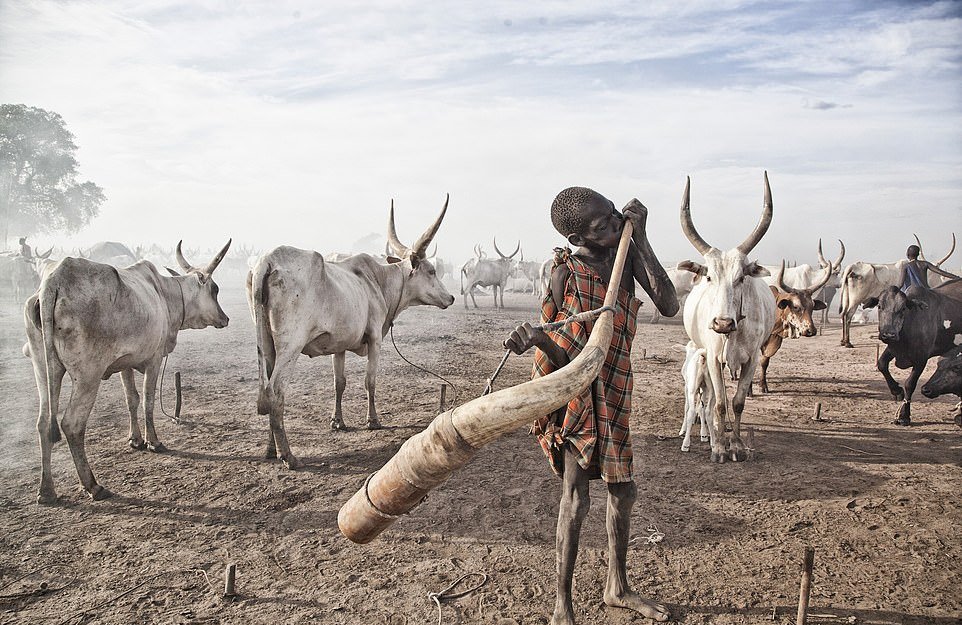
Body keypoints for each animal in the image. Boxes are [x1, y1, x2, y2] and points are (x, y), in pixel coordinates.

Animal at [23, 240, 231, 502]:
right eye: (215, 289)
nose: (225, 318)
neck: (165, 295)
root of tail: (53, 283)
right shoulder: (154, 360)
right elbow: (148, 401)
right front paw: (153, 442)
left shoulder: (125, 364)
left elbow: (131, 398)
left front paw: (135, 439)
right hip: (88, 376)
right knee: (72, 424)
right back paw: (92, 485)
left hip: (43, 368)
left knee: (42, 423)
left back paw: (47, 490)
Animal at [249, 195, 456, 468]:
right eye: (431, 271)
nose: (451, 297)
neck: (377, 281)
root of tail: (268, 260)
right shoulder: (375, 339)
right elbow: (370, 380)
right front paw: (373, 420)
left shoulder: (339, 345)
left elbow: (340, 383)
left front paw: (338, 421)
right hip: (290, 346)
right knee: (275, 392)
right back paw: (289, 456)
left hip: (266, 345)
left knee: (266, 392)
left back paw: (270, 449)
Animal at [680, 173, 776, 460]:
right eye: (709, 277)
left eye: (741, 277)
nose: (722, 323)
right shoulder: (713, 357)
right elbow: (720, 403)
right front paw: (720, 448)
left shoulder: (752, 359)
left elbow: (738, 402)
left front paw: (735, 445)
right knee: (704, 400)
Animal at [756, 258, 832, 390]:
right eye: (796, 306)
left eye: (812, 306)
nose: (811, 330)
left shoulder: (773, 341)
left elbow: (764, 362)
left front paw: (763, 385)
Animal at [864, 282, 960, 424]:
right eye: (880, 306)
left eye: (903, 308)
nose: (889, 334)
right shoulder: (894, 348)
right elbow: (881, 364)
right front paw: (896, 391)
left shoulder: (921, 359)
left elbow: (910, 384)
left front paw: (904, 416)